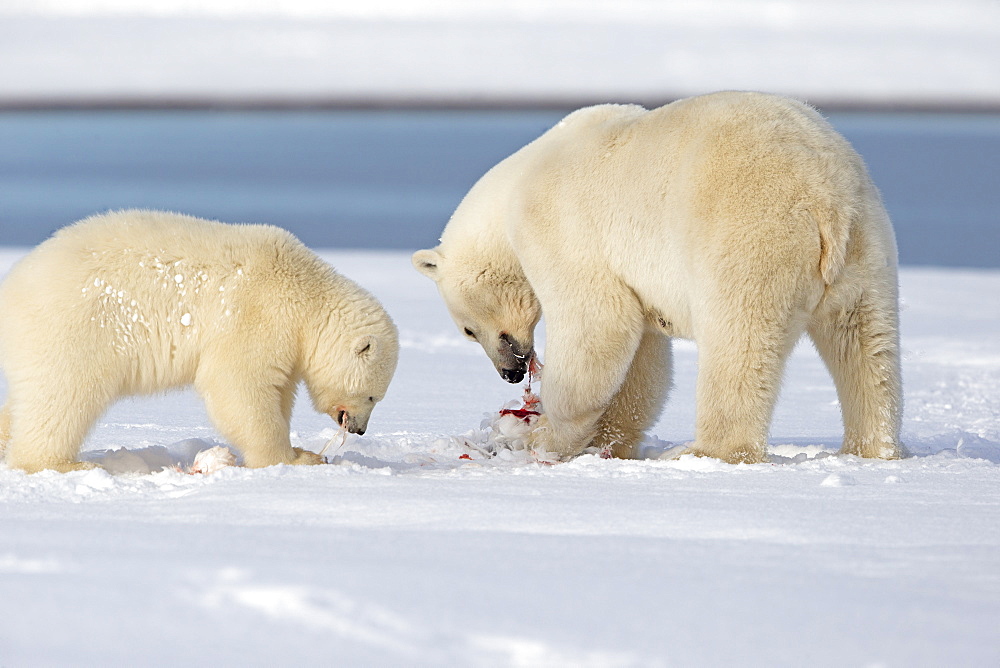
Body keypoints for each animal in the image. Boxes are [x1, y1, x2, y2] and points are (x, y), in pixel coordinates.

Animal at [0, 211, 398, 472]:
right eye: (372, 396)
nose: (360, 429)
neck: (304, 291)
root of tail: (12, 287)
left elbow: (278, 389)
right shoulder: (257, 312)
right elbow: (237, 385)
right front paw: (295, 459)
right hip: (76, 329)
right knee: (64, 396)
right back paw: (62, 464)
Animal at [414, 91, 908, 462]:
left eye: (466, 329)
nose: (512, 374)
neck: (516, 186)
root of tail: (826, 199)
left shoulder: (562, 229)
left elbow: (597, 326)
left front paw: (539, 438)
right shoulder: (634, 279)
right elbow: (642, 358)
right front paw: (607, 442)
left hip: (748, 234)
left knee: (739, 341)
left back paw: (704, 450)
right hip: (868, 251)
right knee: (865, 345)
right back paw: (871, 447)